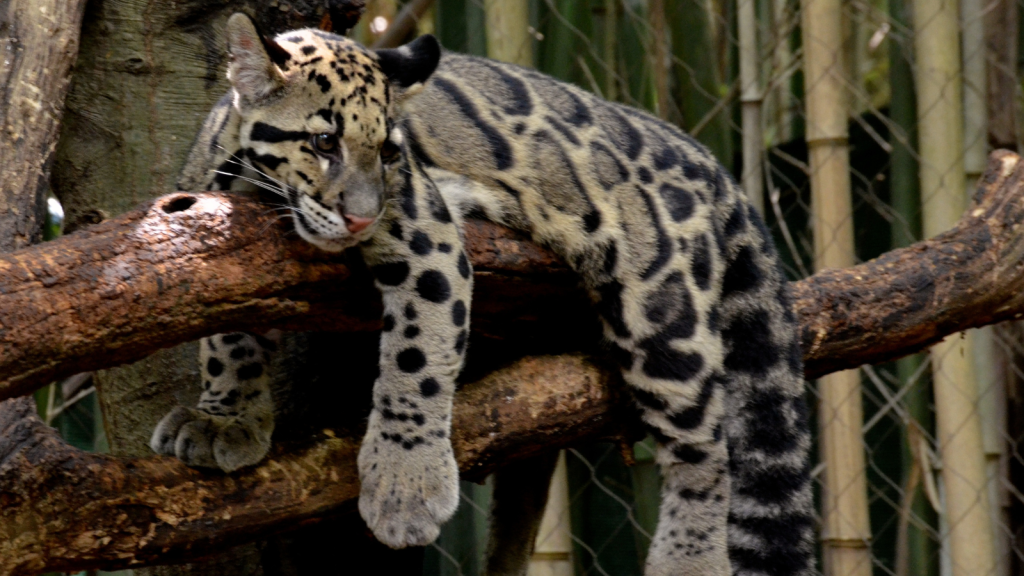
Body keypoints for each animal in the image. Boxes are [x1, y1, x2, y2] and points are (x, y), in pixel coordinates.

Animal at [148, 13, 811, 573]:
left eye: (389, 151)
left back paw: (688, 560)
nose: (362, 216)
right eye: (323, 142)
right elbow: (226, 336)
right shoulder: (217, 240)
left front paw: (406, 486)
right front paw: (226, 417)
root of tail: (707, 158)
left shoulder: (424, 231)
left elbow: (417, 357)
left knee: (706, 450)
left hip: (660, 309)